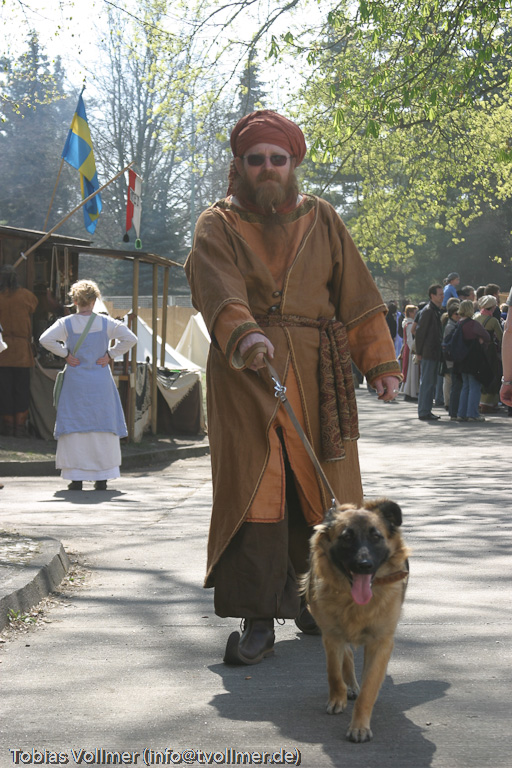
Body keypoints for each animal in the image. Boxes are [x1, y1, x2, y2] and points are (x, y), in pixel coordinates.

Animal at [302, 499, 409, 743]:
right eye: (347, 537)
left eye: (376, 537)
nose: (364, 565)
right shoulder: (331, 635)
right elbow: (333, 672)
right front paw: (337, 698)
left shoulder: (380, 644)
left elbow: (369, 689)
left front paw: (359, 726)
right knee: (347, 655)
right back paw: (348, 687)